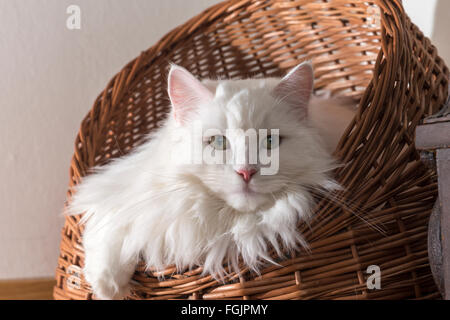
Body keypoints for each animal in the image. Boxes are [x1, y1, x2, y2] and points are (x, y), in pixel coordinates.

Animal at [67, 60, 356, 300]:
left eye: (270, 141)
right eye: (218, 142)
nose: (246, 172)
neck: (222, 219)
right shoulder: (133, 190)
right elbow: (113, 224)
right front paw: (108, 285)